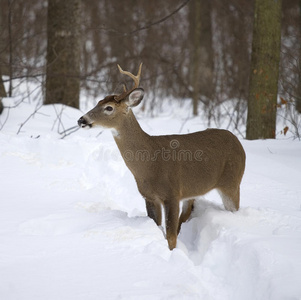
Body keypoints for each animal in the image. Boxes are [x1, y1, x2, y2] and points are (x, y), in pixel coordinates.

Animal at [77, 63, 244, 251]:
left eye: (109, 108)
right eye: (98, 102)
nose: (81, 120)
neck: (150, 163)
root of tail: (238, 142)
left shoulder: (172, 193)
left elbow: (170, 236)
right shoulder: (149, 196)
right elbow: (158, 228)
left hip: (232, 182)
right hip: (195, 191)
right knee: (187, 213)